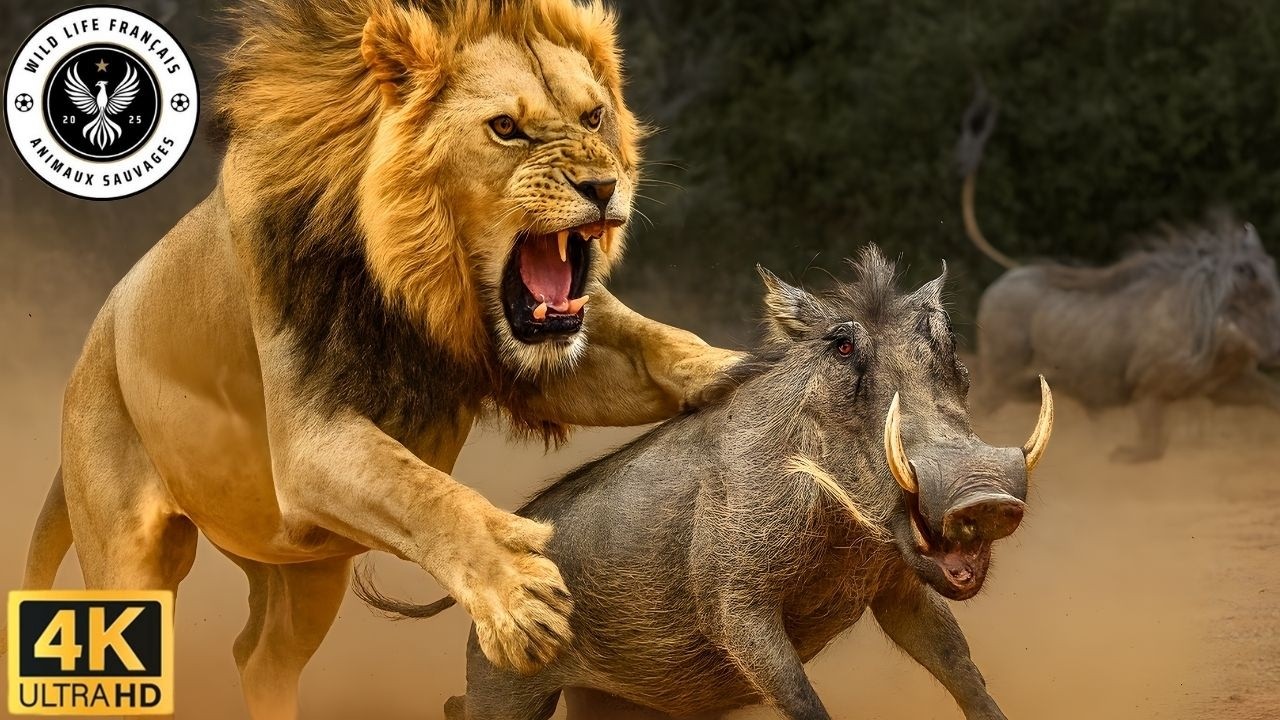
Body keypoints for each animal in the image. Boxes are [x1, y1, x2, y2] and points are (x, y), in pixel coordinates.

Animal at [12, 0, 741, 716]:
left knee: (259, 655)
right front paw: (517, 595)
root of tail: (91, 345)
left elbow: (656, 342)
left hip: (304, 570)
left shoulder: (527, 358)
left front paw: (738, 369)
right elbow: (425, 491)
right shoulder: (309, 440)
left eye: (594, 116)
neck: (413, 281)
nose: (602, 187)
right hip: (131, 549)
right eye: (506, 128)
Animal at [957, 86, 1280, 462]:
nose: (1276, 351)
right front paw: (1121, 455)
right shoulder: (1148, 385)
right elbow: (1152, 444)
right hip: (1000, 369)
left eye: (1272, 278)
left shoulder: (1226, 385)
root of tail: (1004, 279)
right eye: (1246, 288)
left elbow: (1271, 396)